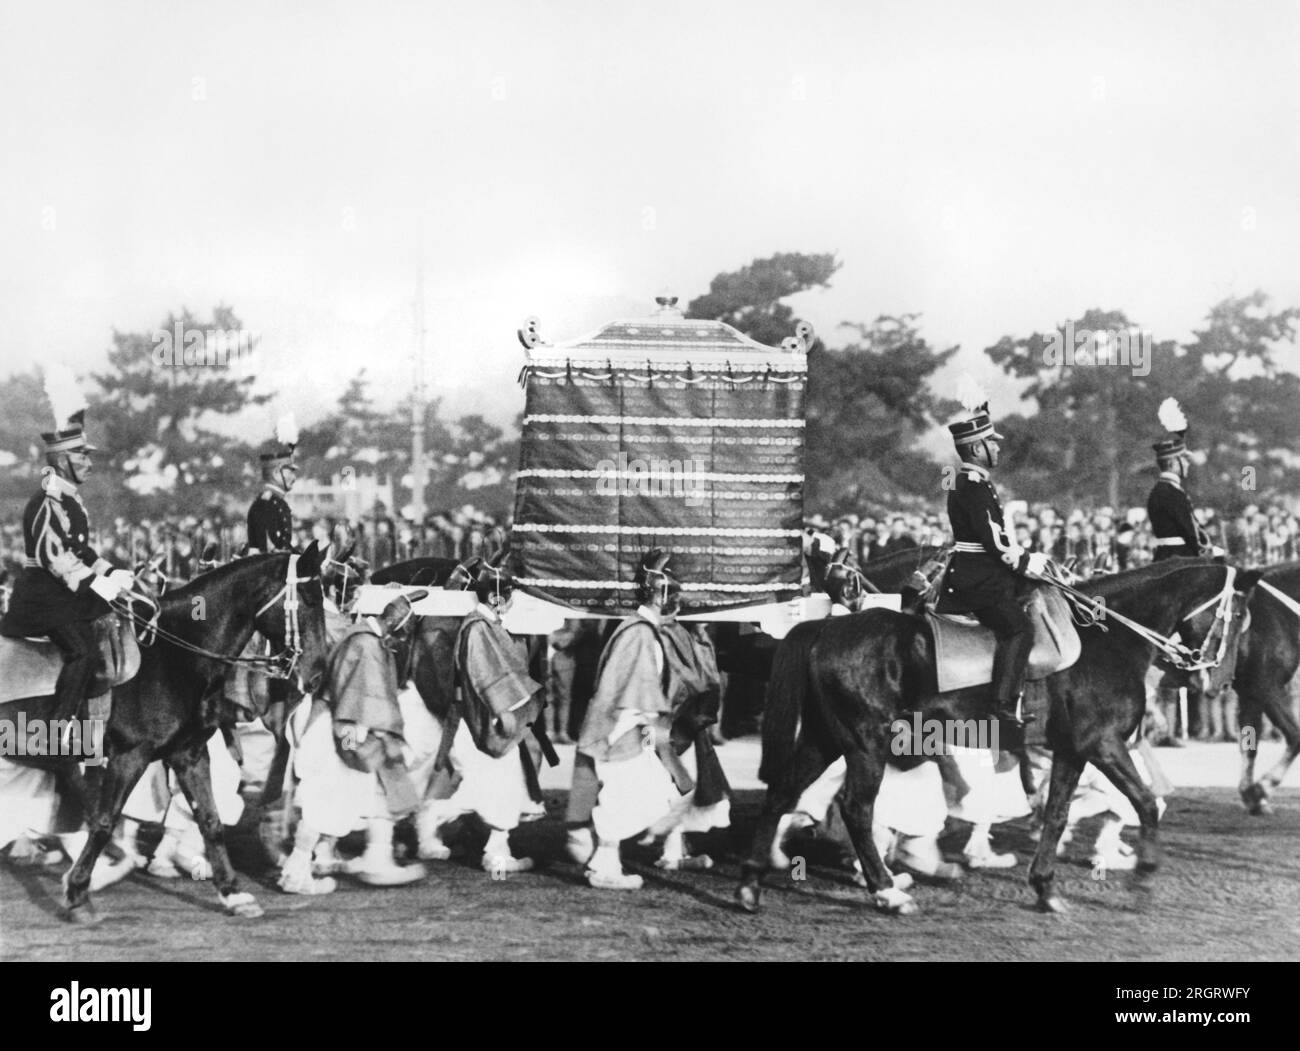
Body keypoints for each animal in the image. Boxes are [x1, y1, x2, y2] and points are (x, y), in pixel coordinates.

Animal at [55, 546, 332, 926]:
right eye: (307, 598)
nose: (317, 675)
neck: (174, 656)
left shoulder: (189, 754)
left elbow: (211, 820)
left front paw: (233, 893)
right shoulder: (129, 757)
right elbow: (104, 821)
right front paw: (77, 892)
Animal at [743, 561, 1258, 915]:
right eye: (1237, 615)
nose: (1219, 682)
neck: (1110, 638)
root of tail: (825, 626)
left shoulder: (1072, 751)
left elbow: (1056, 814)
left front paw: (1046, 889)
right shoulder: (1103, 745)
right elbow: (1146, 803)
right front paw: (1145, 877)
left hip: (826, 738)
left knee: (783, 791)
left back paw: (752, 883)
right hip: (864, 743)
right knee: (855, 808)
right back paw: (887, 890)